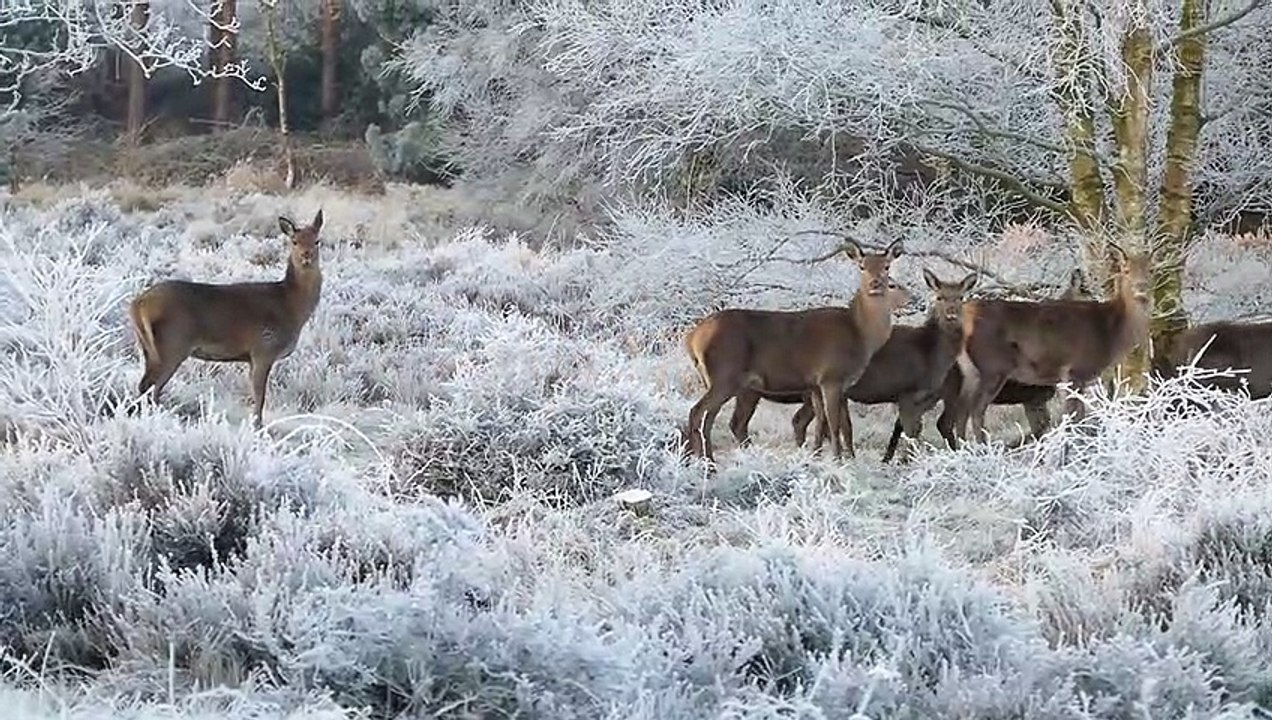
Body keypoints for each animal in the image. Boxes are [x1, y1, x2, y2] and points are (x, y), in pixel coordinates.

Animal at [128, 210, 325, 430]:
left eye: (317, 240)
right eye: (294, 241)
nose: (306, 255)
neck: (291, 307)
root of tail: (137, 305)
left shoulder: (252, 357)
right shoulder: (263, 349)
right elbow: (260, 396)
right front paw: (258, 427)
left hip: (148, 347)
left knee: (146, 386)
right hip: (172, 345)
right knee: (150, 387)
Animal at [682, 239, 905, 463]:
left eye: (887, 266)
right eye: (862, 266)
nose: (875, 284)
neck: (860, 334)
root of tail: (692, 337)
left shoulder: (821, 384)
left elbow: (830, 424)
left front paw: (825, 456)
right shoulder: (830, 377)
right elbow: (834, 425)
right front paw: (837, 460)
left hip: (724, 381)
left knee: (714, 418)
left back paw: (703, 459)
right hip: (725, 374)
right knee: (699, 412)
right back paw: (708, 462)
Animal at [727, 269, 977, 462]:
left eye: (961, 297)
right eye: (940, 297)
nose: (952, 314)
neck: (930, 352)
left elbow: (912, 429)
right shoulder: (906, 392)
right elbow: (910, 431)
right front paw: (905, 461)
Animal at [952, 243, 1152, 445]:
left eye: (1150, 270)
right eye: (1126, 270)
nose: (1142, 287)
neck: (1110, 332)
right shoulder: (1074, 369)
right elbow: (1073, 417)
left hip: (971, 371)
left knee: (961, 411)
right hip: (992, 365)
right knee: (976, 410)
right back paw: (983, 448)